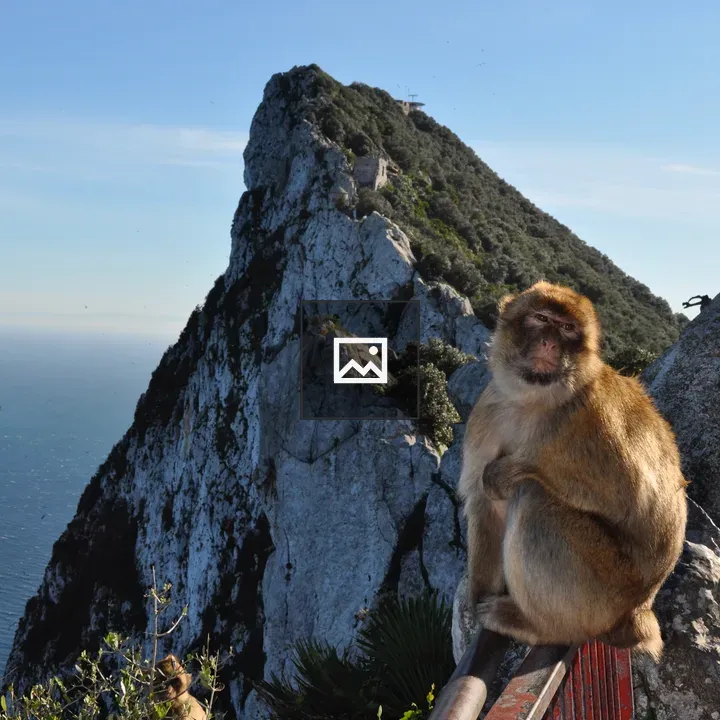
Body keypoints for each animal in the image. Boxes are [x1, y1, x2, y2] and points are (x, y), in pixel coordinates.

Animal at [458, 281, 687, 661]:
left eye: (567, 328)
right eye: (541, 318)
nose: (549, 343)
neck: (534, 401)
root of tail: (638, 610)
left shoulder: (593, 422)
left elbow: (632, 502)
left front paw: (509, 472)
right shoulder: (490, 410)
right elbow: (483, 502)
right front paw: (474, 602)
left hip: (605, 591)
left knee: (535, 500)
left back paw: (538, 626)